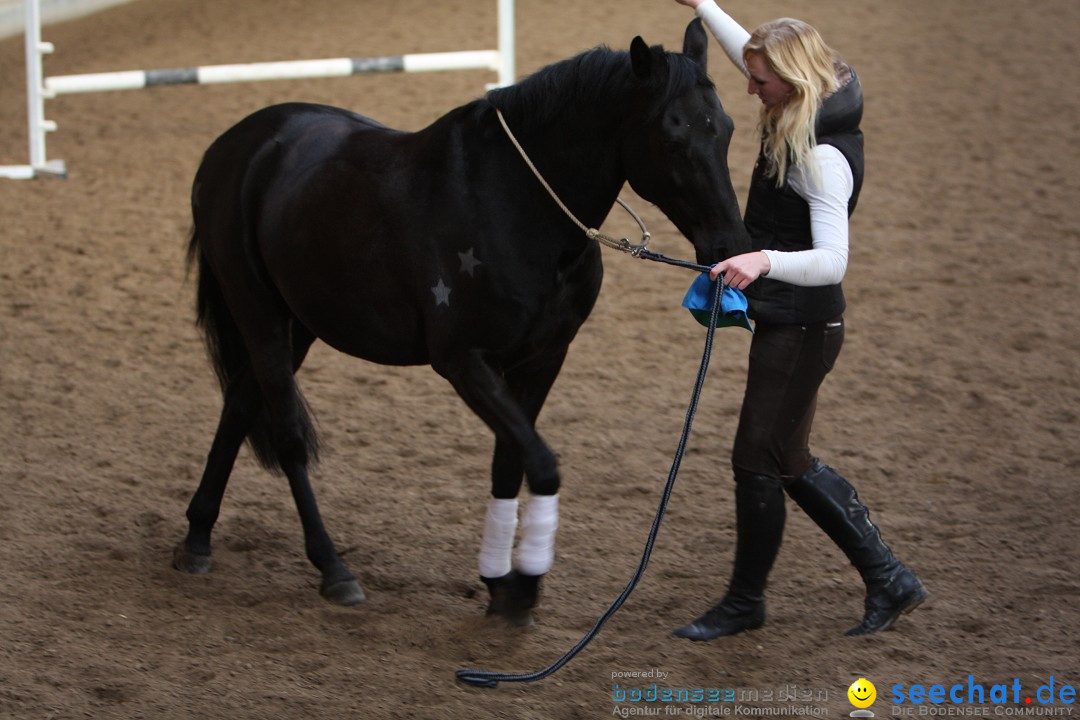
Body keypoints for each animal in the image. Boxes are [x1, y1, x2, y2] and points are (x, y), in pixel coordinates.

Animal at [177, 19, 751, 621]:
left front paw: (499, 580)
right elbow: (541, 463)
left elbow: (511, 461)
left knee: (240, 404)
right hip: (258, 311)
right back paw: (332, 568)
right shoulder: (463, 362)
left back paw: (197, 536)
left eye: (727, 129)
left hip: (300, 322)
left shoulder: (542, 358)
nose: (732, 249)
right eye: (672, 138)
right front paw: (523, 582)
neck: (513, 204)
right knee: (286, 433)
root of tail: (234, 144)